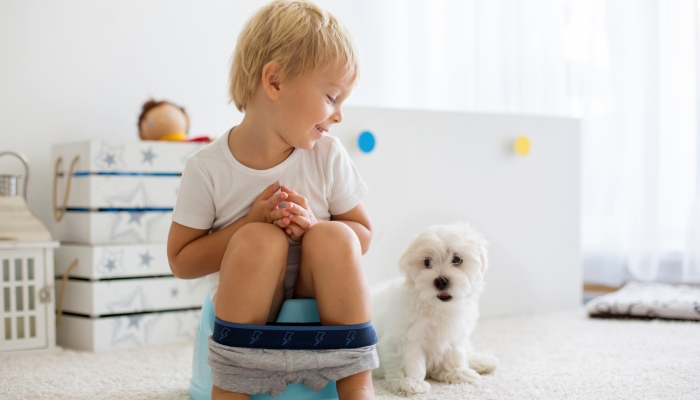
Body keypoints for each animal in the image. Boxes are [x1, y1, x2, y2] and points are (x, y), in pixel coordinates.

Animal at [372, 223, 498, 396]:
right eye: (427, 262)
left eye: (457, 259)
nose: (441, 281)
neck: (436, 306)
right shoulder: (404, 337)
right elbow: (410, 360)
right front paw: (410, 383)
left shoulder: (455, 333)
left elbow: (455, 353)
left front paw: (456, 373)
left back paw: (482, 362)